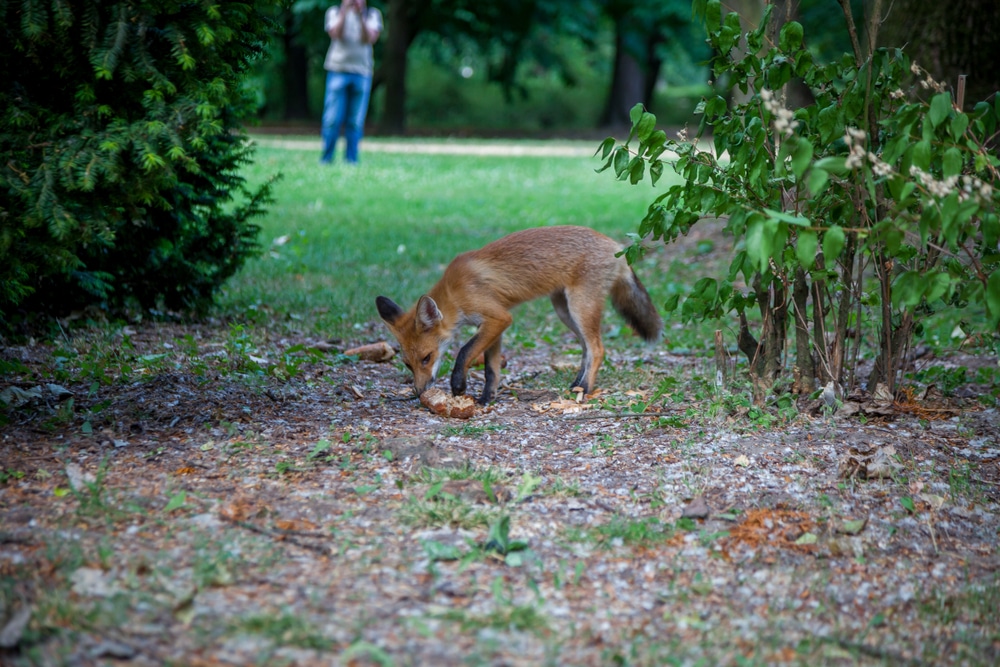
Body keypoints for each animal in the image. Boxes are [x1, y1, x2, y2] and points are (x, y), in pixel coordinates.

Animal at [375, 225, 663, 405]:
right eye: (407, 365)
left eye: (427, 358)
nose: (419, 391)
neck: (454, 293)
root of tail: (617, 246)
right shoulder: (492, 326)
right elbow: (491, 368)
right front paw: (486, 399)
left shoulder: (498, 318)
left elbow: (465, 352)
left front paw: (458, 385)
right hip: (565, 311)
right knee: (586, 348)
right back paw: (578, 383)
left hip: (580, 307)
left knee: (598, 348)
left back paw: (586, 390)